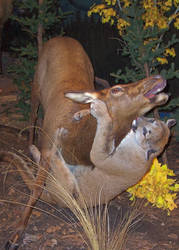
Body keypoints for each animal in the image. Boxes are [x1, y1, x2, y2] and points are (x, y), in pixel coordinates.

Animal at [4, 35, 169, 248]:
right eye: (116, 89)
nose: (156, 77)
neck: (76, 143)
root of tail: (62, 37)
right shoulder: (49, 148)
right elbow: (37, 189)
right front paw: (16, 235)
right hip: (36, 85)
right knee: (32, 117)